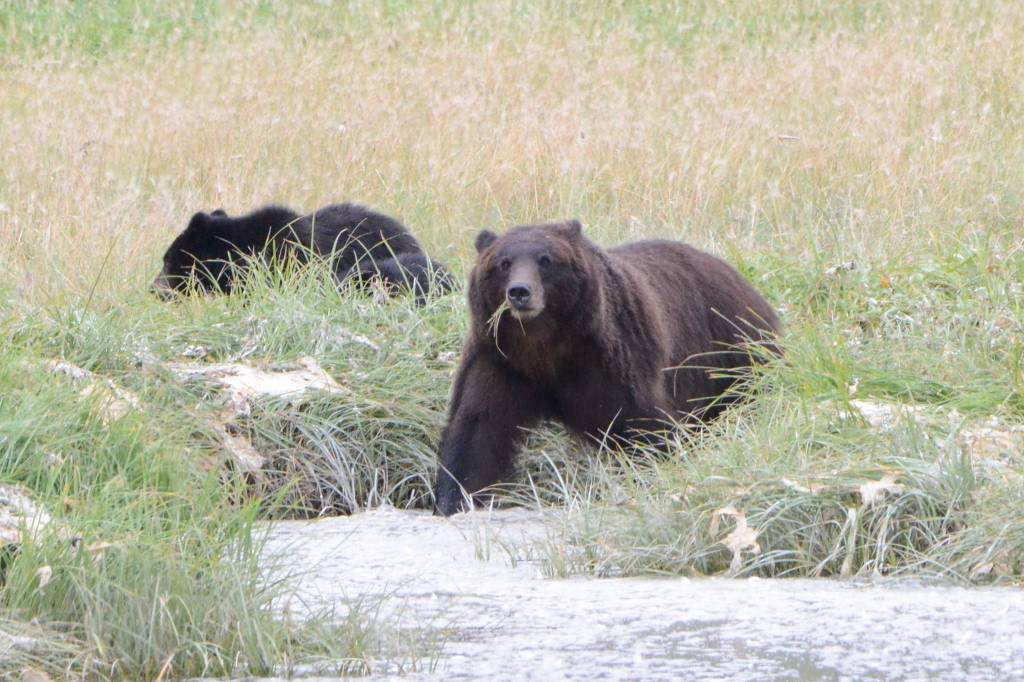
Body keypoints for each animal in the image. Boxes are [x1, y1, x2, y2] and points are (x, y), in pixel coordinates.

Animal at [433, 219, 781, 515]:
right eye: (503, 263)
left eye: (546, 259)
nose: (520, 291)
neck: (543, 346)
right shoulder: (501, 362)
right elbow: (478, 425)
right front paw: (456, 498)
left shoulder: (610, 360)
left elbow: (643, 422)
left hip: (734, 354)